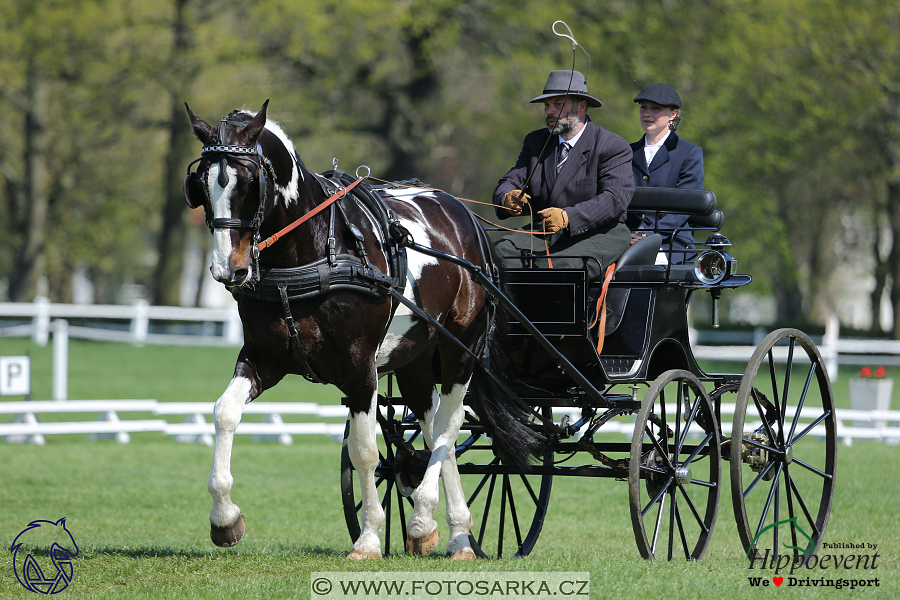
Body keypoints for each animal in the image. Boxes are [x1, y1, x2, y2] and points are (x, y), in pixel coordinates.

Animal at [179, 102, 536, 556]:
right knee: (433, 425)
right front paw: (225, 518)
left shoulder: (360, 365)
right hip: (414, 358)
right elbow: (225, 413)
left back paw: (434, 520)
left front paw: (368, 537)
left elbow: (364, 450)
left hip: (461, 349)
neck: (313, 252)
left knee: (449, 426)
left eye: (250, 182)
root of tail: (463, 214)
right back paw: (448, 530)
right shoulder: (264, 357)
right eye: (202, 184)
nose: (230, 269)